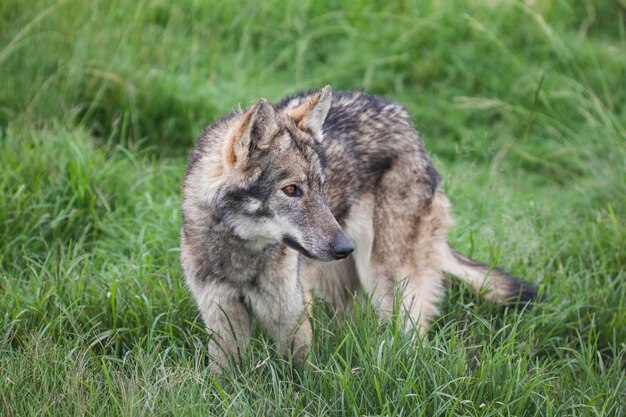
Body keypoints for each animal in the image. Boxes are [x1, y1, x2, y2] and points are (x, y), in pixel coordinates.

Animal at [180, 86, 536, 372]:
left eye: (322, 187)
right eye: (292, 190)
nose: (344, 247)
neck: (241, 258)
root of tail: (407, 123)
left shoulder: (292, 319)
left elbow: (299, 382)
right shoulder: (222, 322)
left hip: (385, 282)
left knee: (414, 337)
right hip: (338, 287)